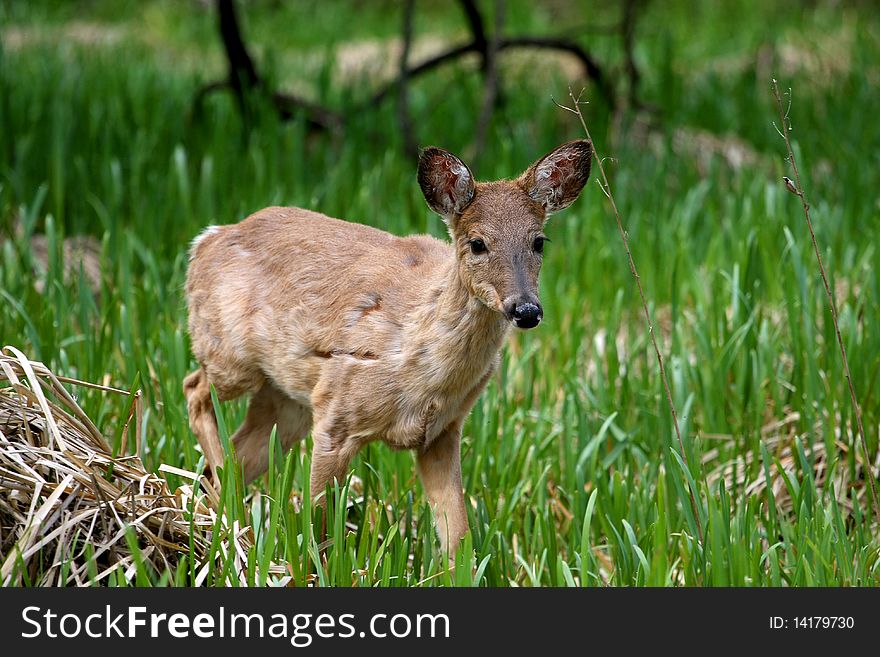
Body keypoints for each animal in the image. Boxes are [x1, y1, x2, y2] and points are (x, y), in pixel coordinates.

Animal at [184, 138, 592, 560]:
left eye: (539, 241)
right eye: (478, 243)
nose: (525, 309)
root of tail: (206, 240)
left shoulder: (442, 432)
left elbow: (458, 536)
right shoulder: (336, 411)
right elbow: (319, 529)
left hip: (286, 400)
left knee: (235, 451)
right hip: (229, 353)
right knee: (193, 388)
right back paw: (228, 503)